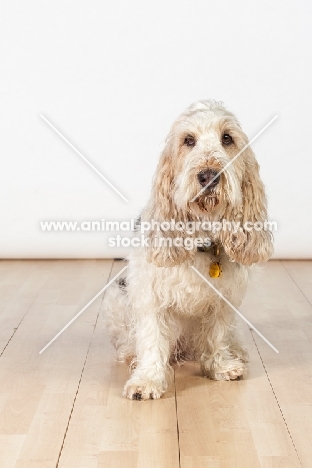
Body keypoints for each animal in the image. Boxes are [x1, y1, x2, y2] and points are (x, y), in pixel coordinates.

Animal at [105, 98, 272, 398]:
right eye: (188, 140)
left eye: (227, 138)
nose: (209, 176)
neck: (201, 239)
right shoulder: (149, 294)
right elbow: (151, 337)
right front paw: (146, 380)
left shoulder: (224, 297)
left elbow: (217, 334)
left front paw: (221, 366)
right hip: (115, 298)